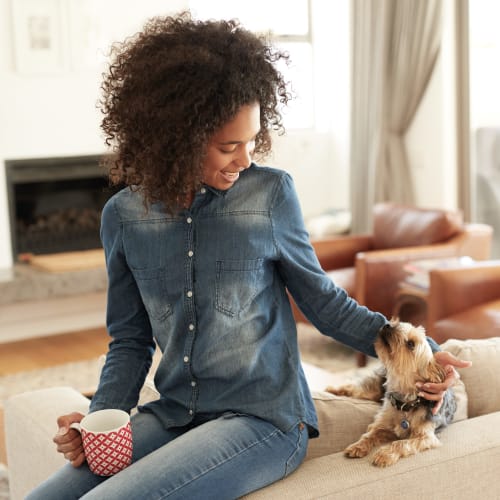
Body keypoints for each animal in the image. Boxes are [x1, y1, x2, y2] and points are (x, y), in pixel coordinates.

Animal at [324, 318, 458, 466]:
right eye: (400, 324)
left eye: (411, 344)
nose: (387, 325)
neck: (406, 401)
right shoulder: (381, 424)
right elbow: (370, 434)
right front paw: (358, 446)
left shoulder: (425, 437)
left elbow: (401, 443)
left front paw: (385, 454)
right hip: (373, 390)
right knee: (354, 388)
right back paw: (332, 389)